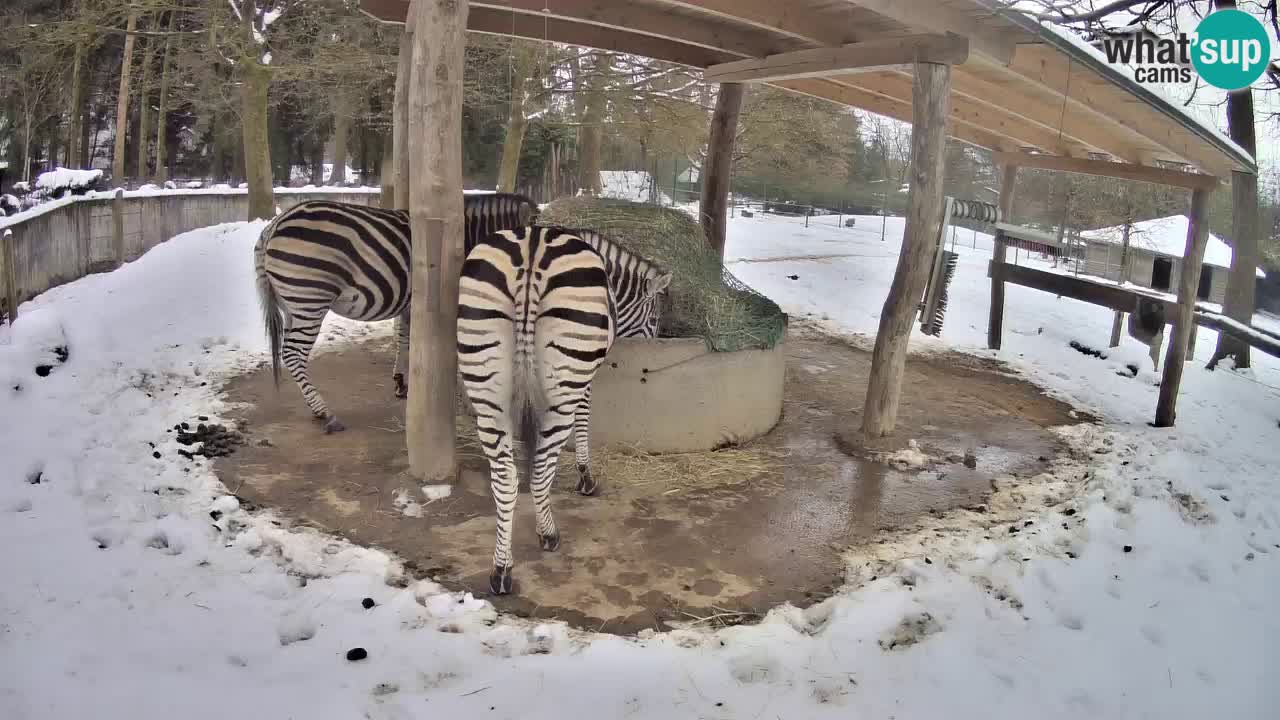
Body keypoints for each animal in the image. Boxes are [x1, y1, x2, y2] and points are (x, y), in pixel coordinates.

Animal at [254, 193, 537, 432]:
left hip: (292, 304)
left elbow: (404, 335)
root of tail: (274, 224)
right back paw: (326, 414)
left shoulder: (410, 303)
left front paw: (401, 382)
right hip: (310, 299)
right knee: (293, 353)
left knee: (290, 352)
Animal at [457, 225, 671, 595]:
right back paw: (548, 534)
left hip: (487, 386)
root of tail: (532, 250)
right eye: (655, 318)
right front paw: (586, 476)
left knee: (505, 477)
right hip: (564, 381)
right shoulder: (587, 374)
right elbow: (584, 417)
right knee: (541, 469)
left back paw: (501, 570)